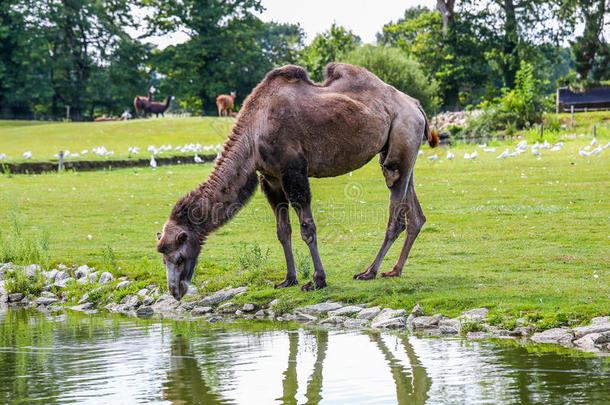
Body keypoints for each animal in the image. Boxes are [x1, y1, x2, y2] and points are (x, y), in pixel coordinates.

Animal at [154, 63, 434, 300]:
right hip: (397, 149)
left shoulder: (293, 171)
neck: (254, 131)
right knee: (414, 212)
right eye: (162, 258)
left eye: (178, 258)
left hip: (402, 134)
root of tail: (416, 105)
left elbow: (307, 229)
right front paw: (288, 279)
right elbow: (283, 231)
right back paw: (394, 270)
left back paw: (369, 272)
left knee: (395, 207)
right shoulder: (271, 178)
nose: (175, 291)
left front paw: (317, 280)